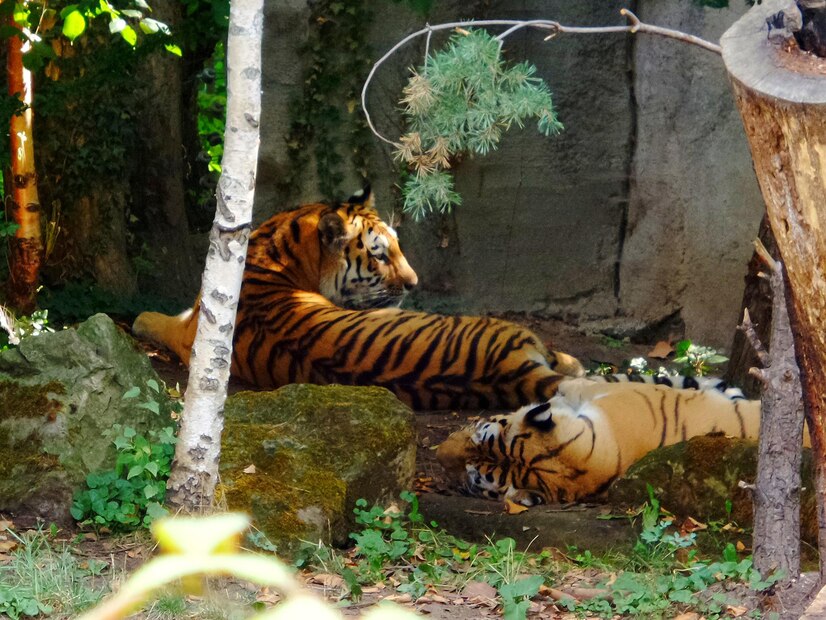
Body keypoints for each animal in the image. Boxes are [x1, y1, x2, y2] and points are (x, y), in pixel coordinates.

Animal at [132, 187, 586, 410]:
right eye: (380, 254)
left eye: (398, 245)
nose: (414, 283)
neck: (275, 248)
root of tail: (510, 371)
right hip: (513, 331)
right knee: (562, 359)